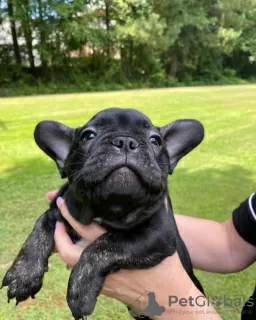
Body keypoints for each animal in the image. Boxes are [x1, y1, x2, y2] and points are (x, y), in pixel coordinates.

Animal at [2, 108, 205, 320]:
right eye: (88, 136)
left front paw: (80, 291)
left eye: (155, 140)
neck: (111, 207)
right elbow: (37, 232)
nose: (125, 141)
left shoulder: (157, 233)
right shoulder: (57, 210)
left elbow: (104, 245)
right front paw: (23, 276)